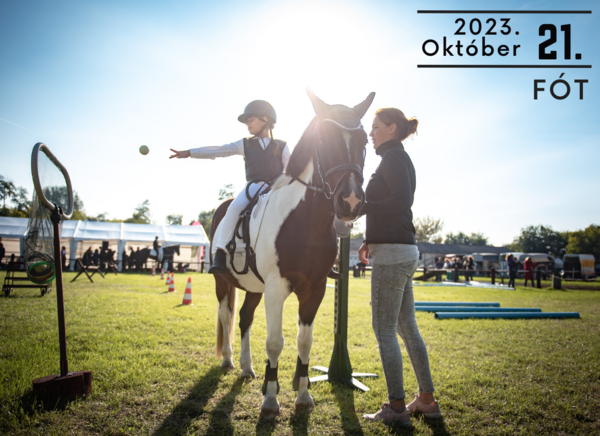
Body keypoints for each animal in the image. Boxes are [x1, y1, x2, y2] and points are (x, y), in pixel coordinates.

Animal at [209, 89, 372, 418]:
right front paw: (271, 399)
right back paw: (229, 360)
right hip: (224, 282)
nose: (350, 201)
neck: (306, 220)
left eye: (364, 140)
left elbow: (303, 342)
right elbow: (274, 342)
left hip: (254, 288)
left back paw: (246, 367)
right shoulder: (276, 287)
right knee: (226, 314)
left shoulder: (315, 288)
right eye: (324, 139)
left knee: (244, 318)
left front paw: (303, 395)